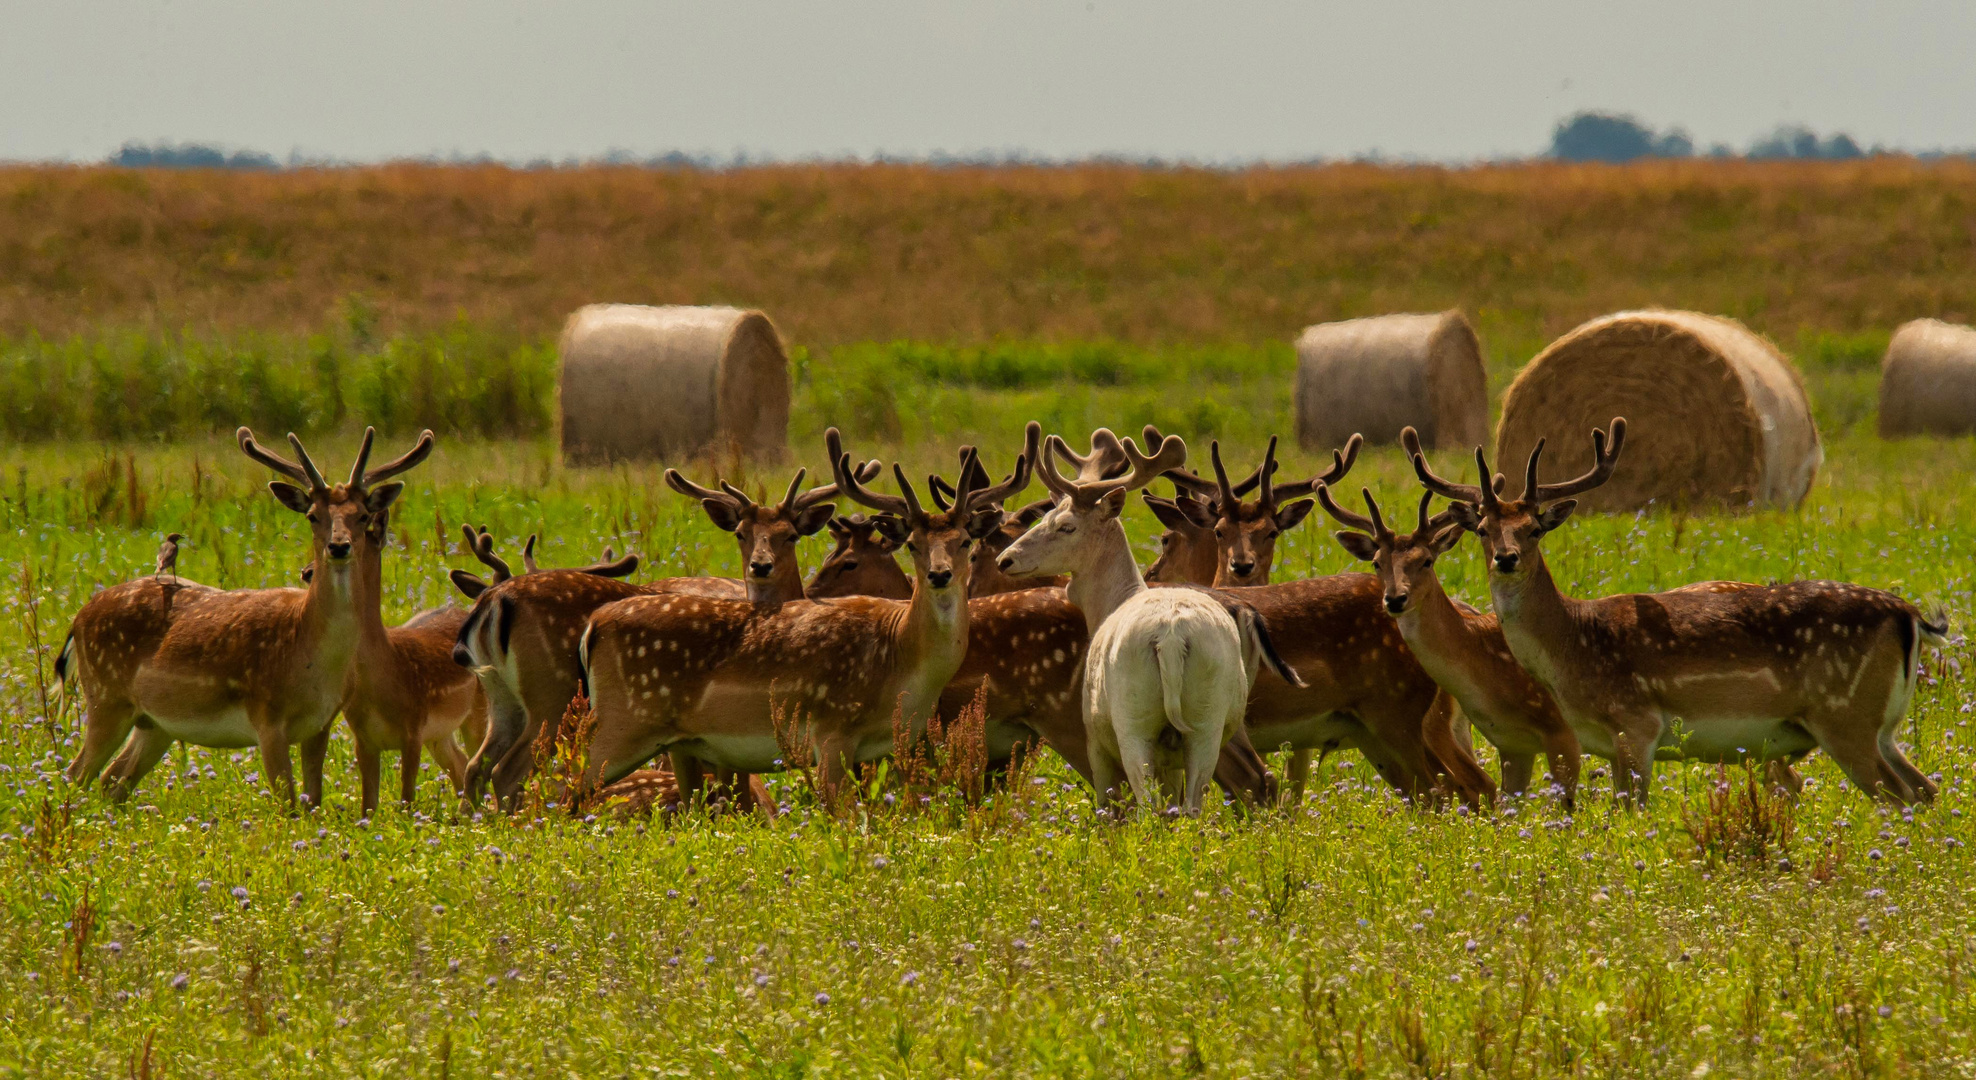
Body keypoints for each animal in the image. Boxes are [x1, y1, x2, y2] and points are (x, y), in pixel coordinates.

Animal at [60, 426, 432, 805]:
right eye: (313, 515)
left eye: (362, 515)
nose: (338, 546)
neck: (310, 655)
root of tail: (76, 621)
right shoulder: (266, 716)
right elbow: (290, 805)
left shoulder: (321, 723)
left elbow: (313, 800)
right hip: (106, 695)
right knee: (76, 774)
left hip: (153, 723)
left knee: (112, 780)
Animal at [576, 430, 1027, 793]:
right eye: (913, 544)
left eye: (965, 541)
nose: (939, 574)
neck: (901, 656)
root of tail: (593, 625)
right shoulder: (831, 730)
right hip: (622, 724)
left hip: (670, 741)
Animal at [1422, 418, 1944, 805]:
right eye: (1483, 530)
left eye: (1534, 528)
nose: (1505, 559)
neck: (1571, 646)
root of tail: (1910, 615)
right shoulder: (1607, 745)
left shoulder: (1637, 723)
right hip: (1882, 726)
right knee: (1925, 788)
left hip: (1844, 716)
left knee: (1899, 797)